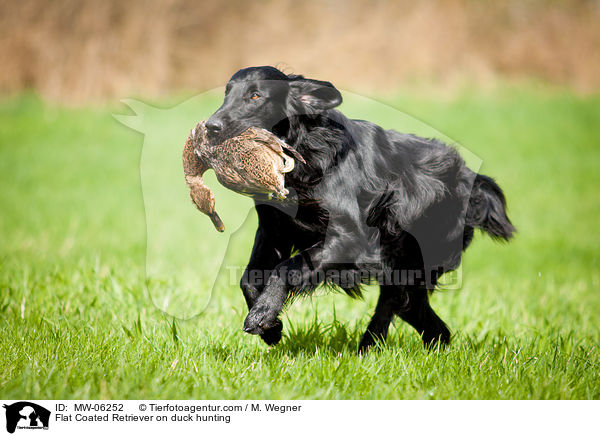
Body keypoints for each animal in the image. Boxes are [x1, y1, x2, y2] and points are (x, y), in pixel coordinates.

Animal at [204, 65, 512, 350]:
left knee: (397, 305)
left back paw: (370, 346)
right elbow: (248, 279)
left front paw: (264, 314)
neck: (303, 153)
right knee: (428, 322)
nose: (210, 127)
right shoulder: (273, 231)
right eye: (227, 94)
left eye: (255, 95)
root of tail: (470, 177)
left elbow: (286, 268)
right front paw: (271, 327)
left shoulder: (349, 239)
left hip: (408, 261)